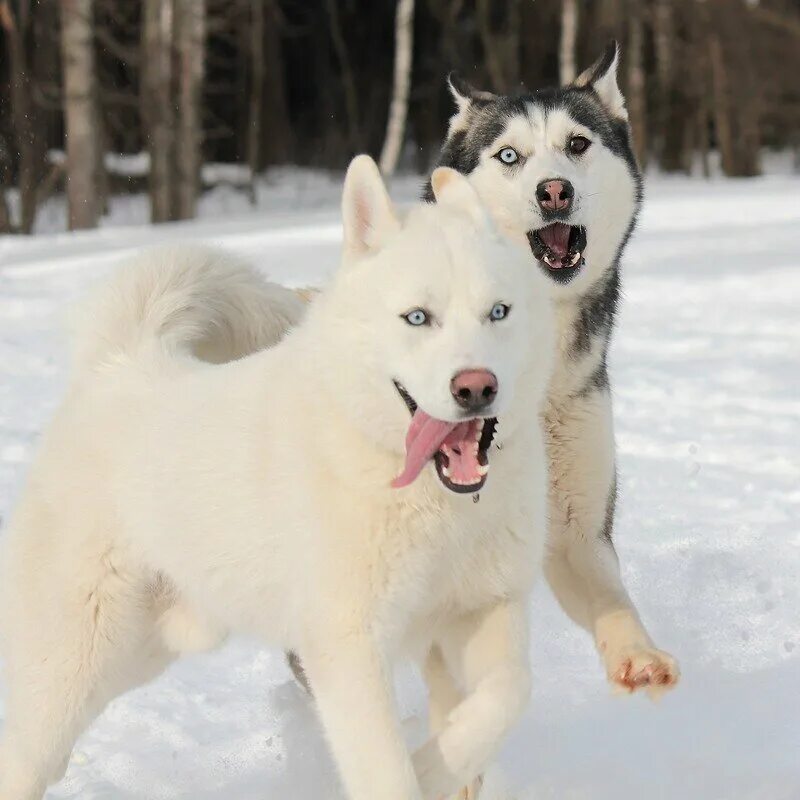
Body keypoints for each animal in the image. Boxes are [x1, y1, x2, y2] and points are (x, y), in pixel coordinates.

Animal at [0, 158, 552, 800]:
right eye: (419, 318)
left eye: (499, 313)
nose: (477, 387)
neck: (431, 502)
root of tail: (117, 364)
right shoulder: (348, 648)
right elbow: (386, 771)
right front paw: (418, 772)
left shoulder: (485, 609)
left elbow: (509, 694)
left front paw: (438, 768)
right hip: (75, 667)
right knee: (24, 753)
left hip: (152, 647)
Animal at [424, 42, 680, 692]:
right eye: (509, 155)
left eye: (578, 144)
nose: (555, 192)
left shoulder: (577, 527)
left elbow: (609, 596)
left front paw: (637, 654)